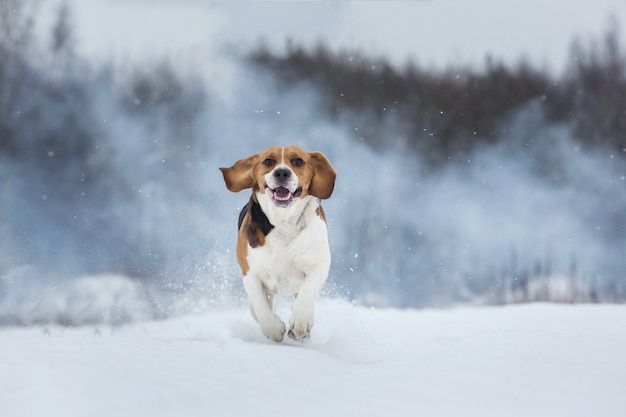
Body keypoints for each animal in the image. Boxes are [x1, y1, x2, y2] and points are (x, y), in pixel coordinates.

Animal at [221, 146, 336, 342]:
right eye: (268, 161)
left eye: (298, 161)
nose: (282, 172)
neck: (283, 222)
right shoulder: (250, 273)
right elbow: (260, 306)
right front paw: (274, 329)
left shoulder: (320, 264)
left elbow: (308, 290)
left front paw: (300, 322)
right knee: (255, 308)